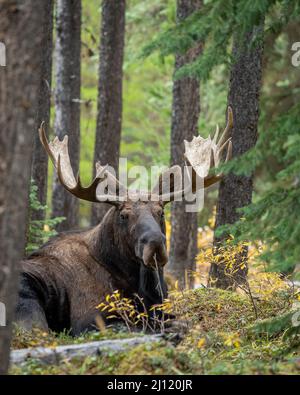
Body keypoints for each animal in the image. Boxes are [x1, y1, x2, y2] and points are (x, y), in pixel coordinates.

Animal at [15, 107, 233, 334]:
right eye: (123, 215)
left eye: (161, 212)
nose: (155, 243)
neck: (140, 284)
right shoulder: (89, 319)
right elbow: (142, 327)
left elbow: (183, 321)